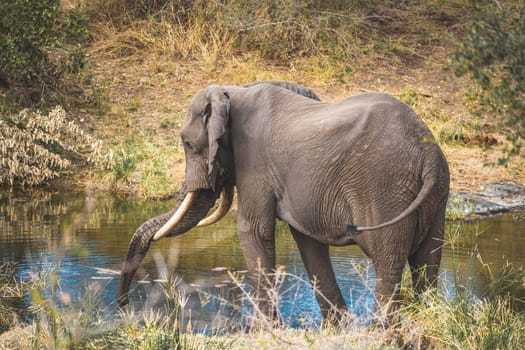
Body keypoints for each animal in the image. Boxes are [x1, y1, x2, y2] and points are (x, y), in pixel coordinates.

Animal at [116, 80, 448, 326]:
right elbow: (308, 241)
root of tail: (428, 152)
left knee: (388, 262)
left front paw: (264, 330)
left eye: (187, 144)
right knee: (428, 260)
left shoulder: (254, 161)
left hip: (384, 186)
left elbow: (252, 230)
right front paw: (335, 327)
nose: (123, 308)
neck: (233, 92)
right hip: (435, 194)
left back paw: (381, 331)